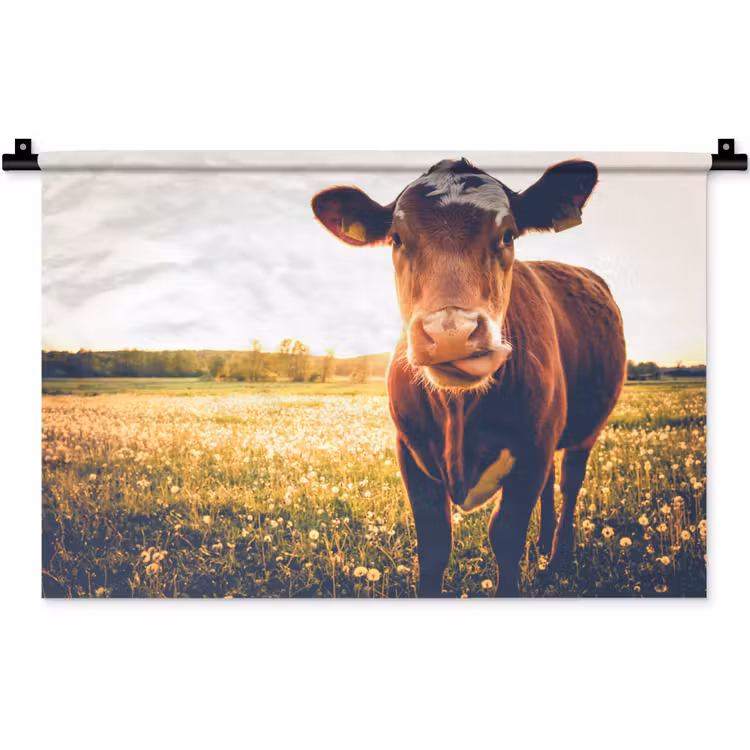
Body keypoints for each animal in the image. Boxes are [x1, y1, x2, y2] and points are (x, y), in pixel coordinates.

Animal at [311, 158, 626, 596]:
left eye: (508, 234)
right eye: (396, 238)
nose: (451, 333)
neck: (459, 412)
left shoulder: (533, 449)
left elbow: (506, 536)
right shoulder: (410, 450)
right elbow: (434, 543)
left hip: (585, 430)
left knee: (569, 483)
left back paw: (558, 557)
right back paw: (543, 544)